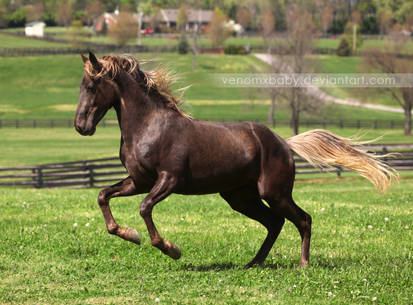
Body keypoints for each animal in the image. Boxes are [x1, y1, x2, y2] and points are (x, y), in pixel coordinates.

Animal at [73, 53, 392, 268]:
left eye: (91, 86)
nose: (80, 126)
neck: (151, 125)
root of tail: (284, 143)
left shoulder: (168, 180)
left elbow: (144, 208)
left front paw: (170, 248)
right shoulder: (139, 181)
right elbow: (103, 196)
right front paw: (129, 234)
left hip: (274, 193)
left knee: (303, 219)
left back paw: (302, 264)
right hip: (241, 197)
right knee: (274, 222)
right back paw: (254, 263)